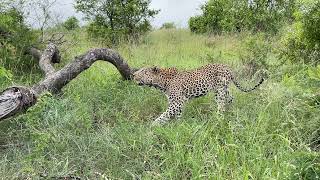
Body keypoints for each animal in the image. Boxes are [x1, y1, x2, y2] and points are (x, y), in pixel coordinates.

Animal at [132, 64, 264, 125]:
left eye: (143, 71)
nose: (133, 75)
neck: (160, 83)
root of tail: (227, 67)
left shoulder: (177, 102)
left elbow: (164, 115)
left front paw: (152, 126)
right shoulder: (177, 103)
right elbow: (177, 115)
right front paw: (179, 125)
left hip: (220, 90)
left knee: (221, 106)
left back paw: (219, 119)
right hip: (223, 90)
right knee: (230, 99)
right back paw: (232, 111)